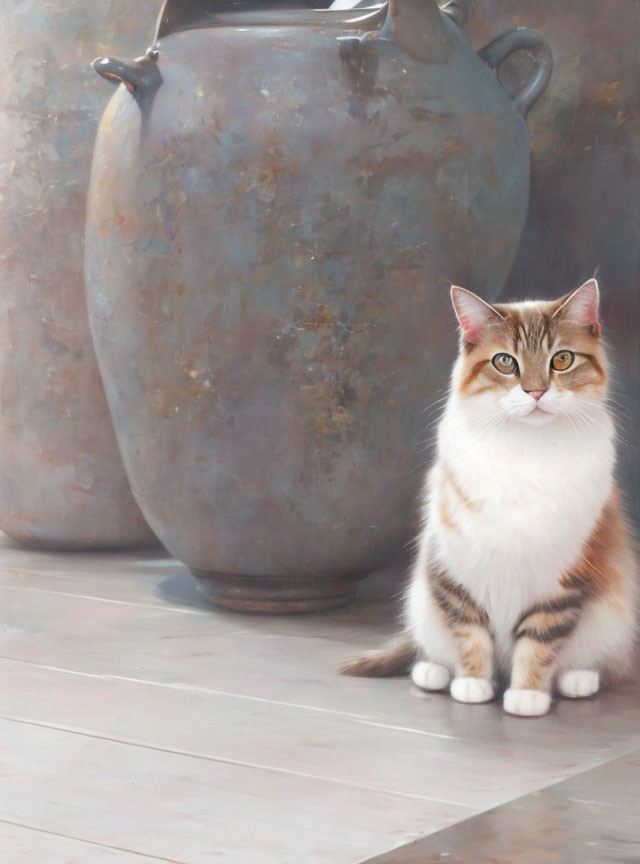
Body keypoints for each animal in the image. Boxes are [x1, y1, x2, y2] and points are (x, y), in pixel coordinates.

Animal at [340, 282, 636, 716]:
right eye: (504, 362)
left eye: (562, 359)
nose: (535, 391)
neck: (526, 450)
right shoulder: (455, 562)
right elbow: (468, 629)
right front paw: (473, 683)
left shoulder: (564, 576)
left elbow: (540, 640)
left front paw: (527, 694)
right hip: (422, 599)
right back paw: (433, 672)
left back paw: (578, 678)